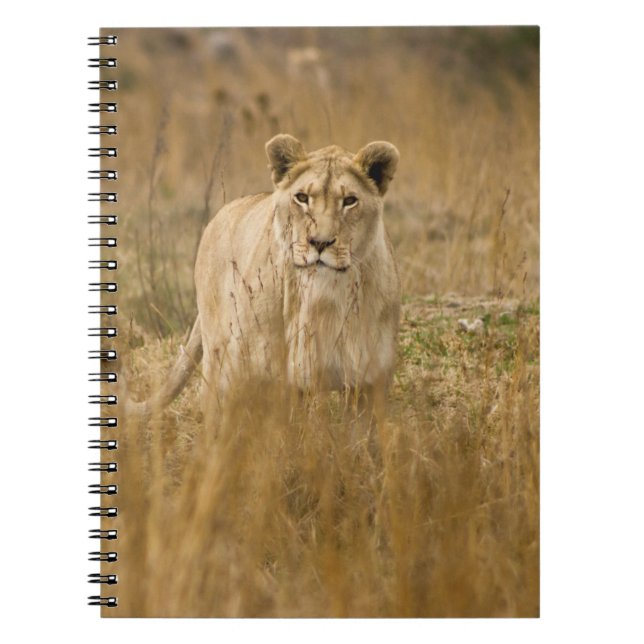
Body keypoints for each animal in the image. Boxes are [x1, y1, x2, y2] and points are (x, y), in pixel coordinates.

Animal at [127, 134, 401, 427]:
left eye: (350, 200)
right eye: (302, 198)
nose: (319, 242)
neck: (323, 297)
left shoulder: (368, 383)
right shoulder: (259, 373)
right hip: (219, 358)